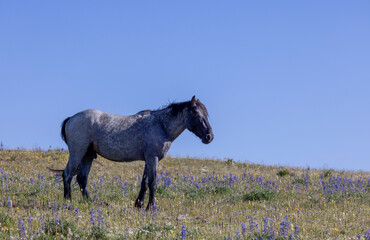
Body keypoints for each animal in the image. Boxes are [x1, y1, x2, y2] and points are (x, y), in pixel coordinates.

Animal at [58, 95, 214, 210]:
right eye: (195, 113)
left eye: (206, 114)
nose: (209, 137)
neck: (161, 125)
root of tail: (71, 118)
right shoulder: (153, 158)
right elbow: (152, 182)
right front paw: (151, 207)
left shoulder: (148, 160)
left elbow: (144, 183)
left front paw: (139, 204)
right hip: (77, 153)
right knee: (68, 174)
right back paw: (68, 201)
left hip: (88, 155)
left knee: (82, 178)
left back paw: (89, 202)